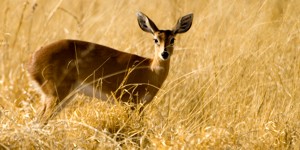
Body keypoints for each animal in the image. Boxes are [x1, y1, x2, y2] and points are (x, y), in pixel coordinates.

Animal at [27, 11, 192, 123]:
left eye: (173, 39)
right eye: (155, 39)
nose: (164, 54)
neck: (149, 70)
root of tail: (32, 60)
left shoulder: (140, 106)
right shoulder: (129, 103)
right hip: (55, 95)